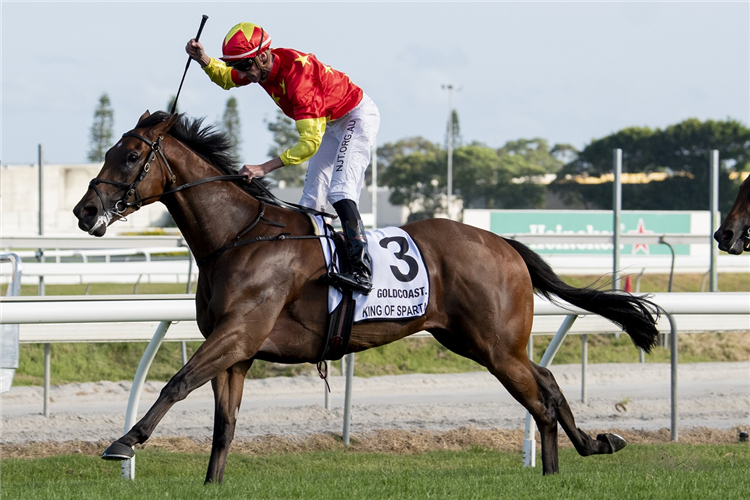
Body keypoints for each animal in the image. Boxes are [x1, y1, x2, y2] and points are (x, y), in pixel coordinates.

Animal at [73, 111, 660, 482]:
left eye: (129, 156)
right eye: (108, 152)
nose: (83, 211)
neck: (241, 235)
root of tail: (503, 243)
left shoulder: (238, 332)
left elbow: (176, 382)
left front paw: (124, 441)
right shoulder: (236, 352)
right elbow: (224, 427)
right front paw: (210, 482)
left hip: (495, 345)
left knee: (540, 397)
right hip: (473, 341)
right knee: (547, 384)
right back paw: (587, 449)